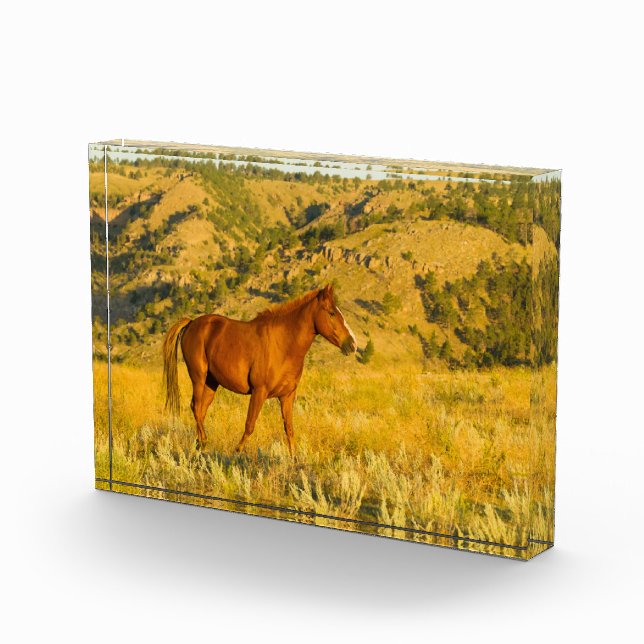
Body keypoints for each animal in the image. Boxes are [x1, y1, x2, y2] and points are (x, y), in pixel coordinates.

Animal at [162, 284, 357, 456]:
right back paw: (203, 442)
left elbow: (289, 429)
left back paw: (200, 445)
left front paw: (294, 459)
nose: (352, 344)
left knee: (201, 410)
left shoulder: (287, 396)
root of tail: (192, 323)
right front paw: (237, 452)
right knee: (195, 407)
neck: (283, 344)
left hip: (211, 383)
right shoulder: (259, 392)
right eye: (332, 313)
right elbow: (250, 425)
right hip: (198, 377)